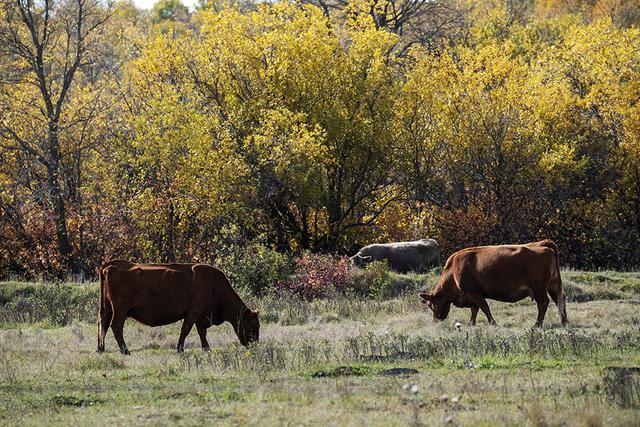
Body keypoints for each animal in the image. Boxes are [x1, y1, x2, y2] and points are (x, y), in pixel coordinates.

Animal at [97, 260, 258, 354]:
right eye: (252, 326)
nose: (254, 344)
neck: (213, 284)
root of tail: (108, 267)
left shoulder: (201, 316)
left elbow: (202, 332)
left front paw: (206, 348)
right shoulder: (194, 313)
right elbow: (186, 330)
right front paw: (180, 349)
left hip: (107, 308)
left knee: (102, 323)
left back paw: (100, 349)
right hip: (120, 311)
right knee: (115, 326)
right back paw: (125, 351)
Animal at [420, 241, 568, 328]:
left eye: (431, 305)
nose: (436, 320)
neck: (453, 271)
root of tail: (543, 244)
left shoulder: (474, 293)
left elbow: (484, 308)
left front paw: (493, 323)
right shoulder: (473, 295)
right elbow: (475, 310)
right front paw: (472, 324)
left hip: (539, 288)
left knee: (543, 303)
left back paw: (537, 325)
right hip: (553, 285)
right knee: (560, 300)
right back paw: (564, 321)